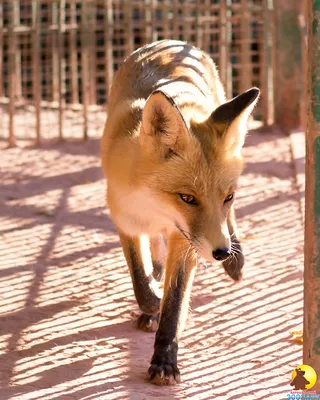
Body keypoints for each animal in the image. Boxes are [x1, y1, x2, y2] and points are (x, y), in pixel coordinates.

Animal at [100, 39, 260, 384]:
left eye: (228, 197)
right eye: (187, 198)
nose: (220, 253)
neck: (154, 206)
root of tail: (171, 43)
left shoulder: (185, 241)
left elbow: (174, 302)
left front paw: (164, 360)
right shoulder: (126, 220)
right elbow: (141, 282)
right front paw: (151, 304)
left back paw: (236, 261)